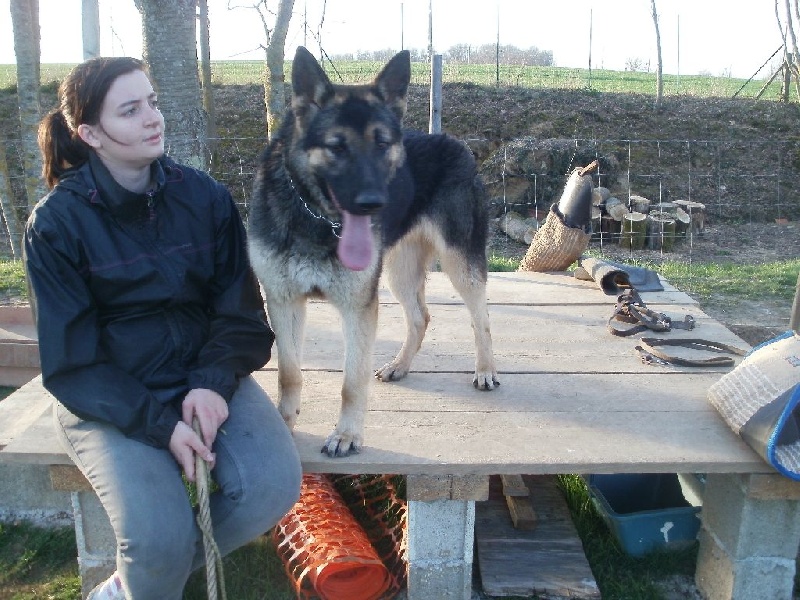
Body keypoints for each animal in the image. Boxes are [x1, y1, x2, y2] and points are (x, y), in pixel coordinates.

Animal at [247, 47, 496, 458]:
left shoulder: (358, 308)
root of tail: (453, 142)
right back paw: (400, 365)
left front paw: (346, 435)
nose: (373, 203)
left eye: (382, 144)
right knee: (421, 317)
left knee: (481, 318)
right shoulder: (285, 302)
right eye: (336, 146)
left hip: (460, 265)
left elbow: (352, 380)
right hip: (399, 271)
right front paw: (285, 423)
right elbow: (289, 372)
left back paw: (486, 369)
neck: (315, 217)